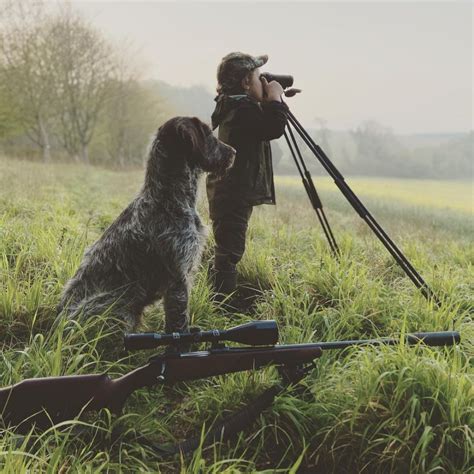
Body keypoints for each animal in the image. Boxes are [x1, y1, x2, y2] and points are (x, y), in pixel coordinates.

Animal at [57, 116, 235, 334]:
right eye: (208, 134)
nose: (234, 152)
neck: (167, 197)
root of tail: (57, 326)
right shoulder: (178, 280)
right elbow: (179, 322)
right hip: (120, 300)